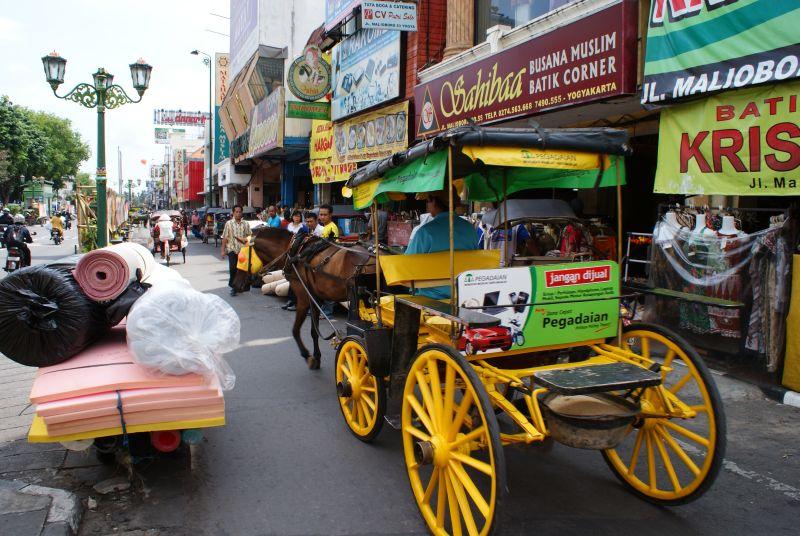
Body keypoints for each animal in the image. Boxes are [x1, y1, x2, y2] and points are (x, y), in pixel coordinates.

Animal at [233, 226, 376, 368]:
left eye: (241, 258)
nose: (235, 284)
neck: (293, 251)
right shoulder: (314, 298)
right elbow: (314, 331)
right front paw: (317, 357)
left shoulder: (303, 298)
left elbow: (295, 330)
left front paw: (307, 355)